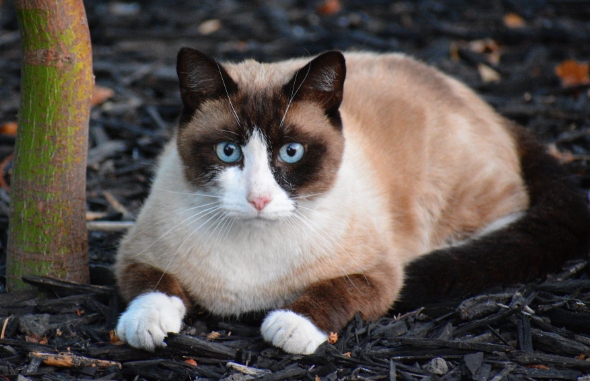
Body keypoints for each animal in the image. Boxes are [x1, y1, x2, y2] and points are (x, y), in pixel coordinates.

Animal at [112, 47, 590, 354]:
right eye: (228, 152)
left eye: (292, 152)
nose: (259, 199)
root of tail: (490, 108)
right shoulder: (135, 253)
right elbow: (153, 285)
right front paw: (146, 325)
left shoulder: (378, 275)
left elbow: (334, 292)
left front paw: (289, 325)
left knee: (508, 222)